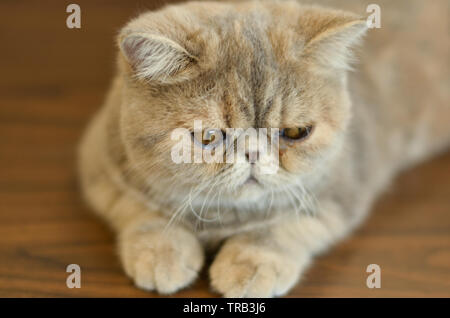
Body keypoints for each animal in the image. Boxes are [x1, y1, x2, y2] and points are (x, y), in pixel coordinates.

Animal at [79, 0, 448, 298]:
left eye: (295, 132)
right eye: (208, 137)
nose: (254, 153)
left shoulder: (343, 185)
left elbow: (285, 226)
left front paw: (252, 262)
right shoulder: (99, 165)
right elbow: (140, 209)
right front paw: (161, 250)